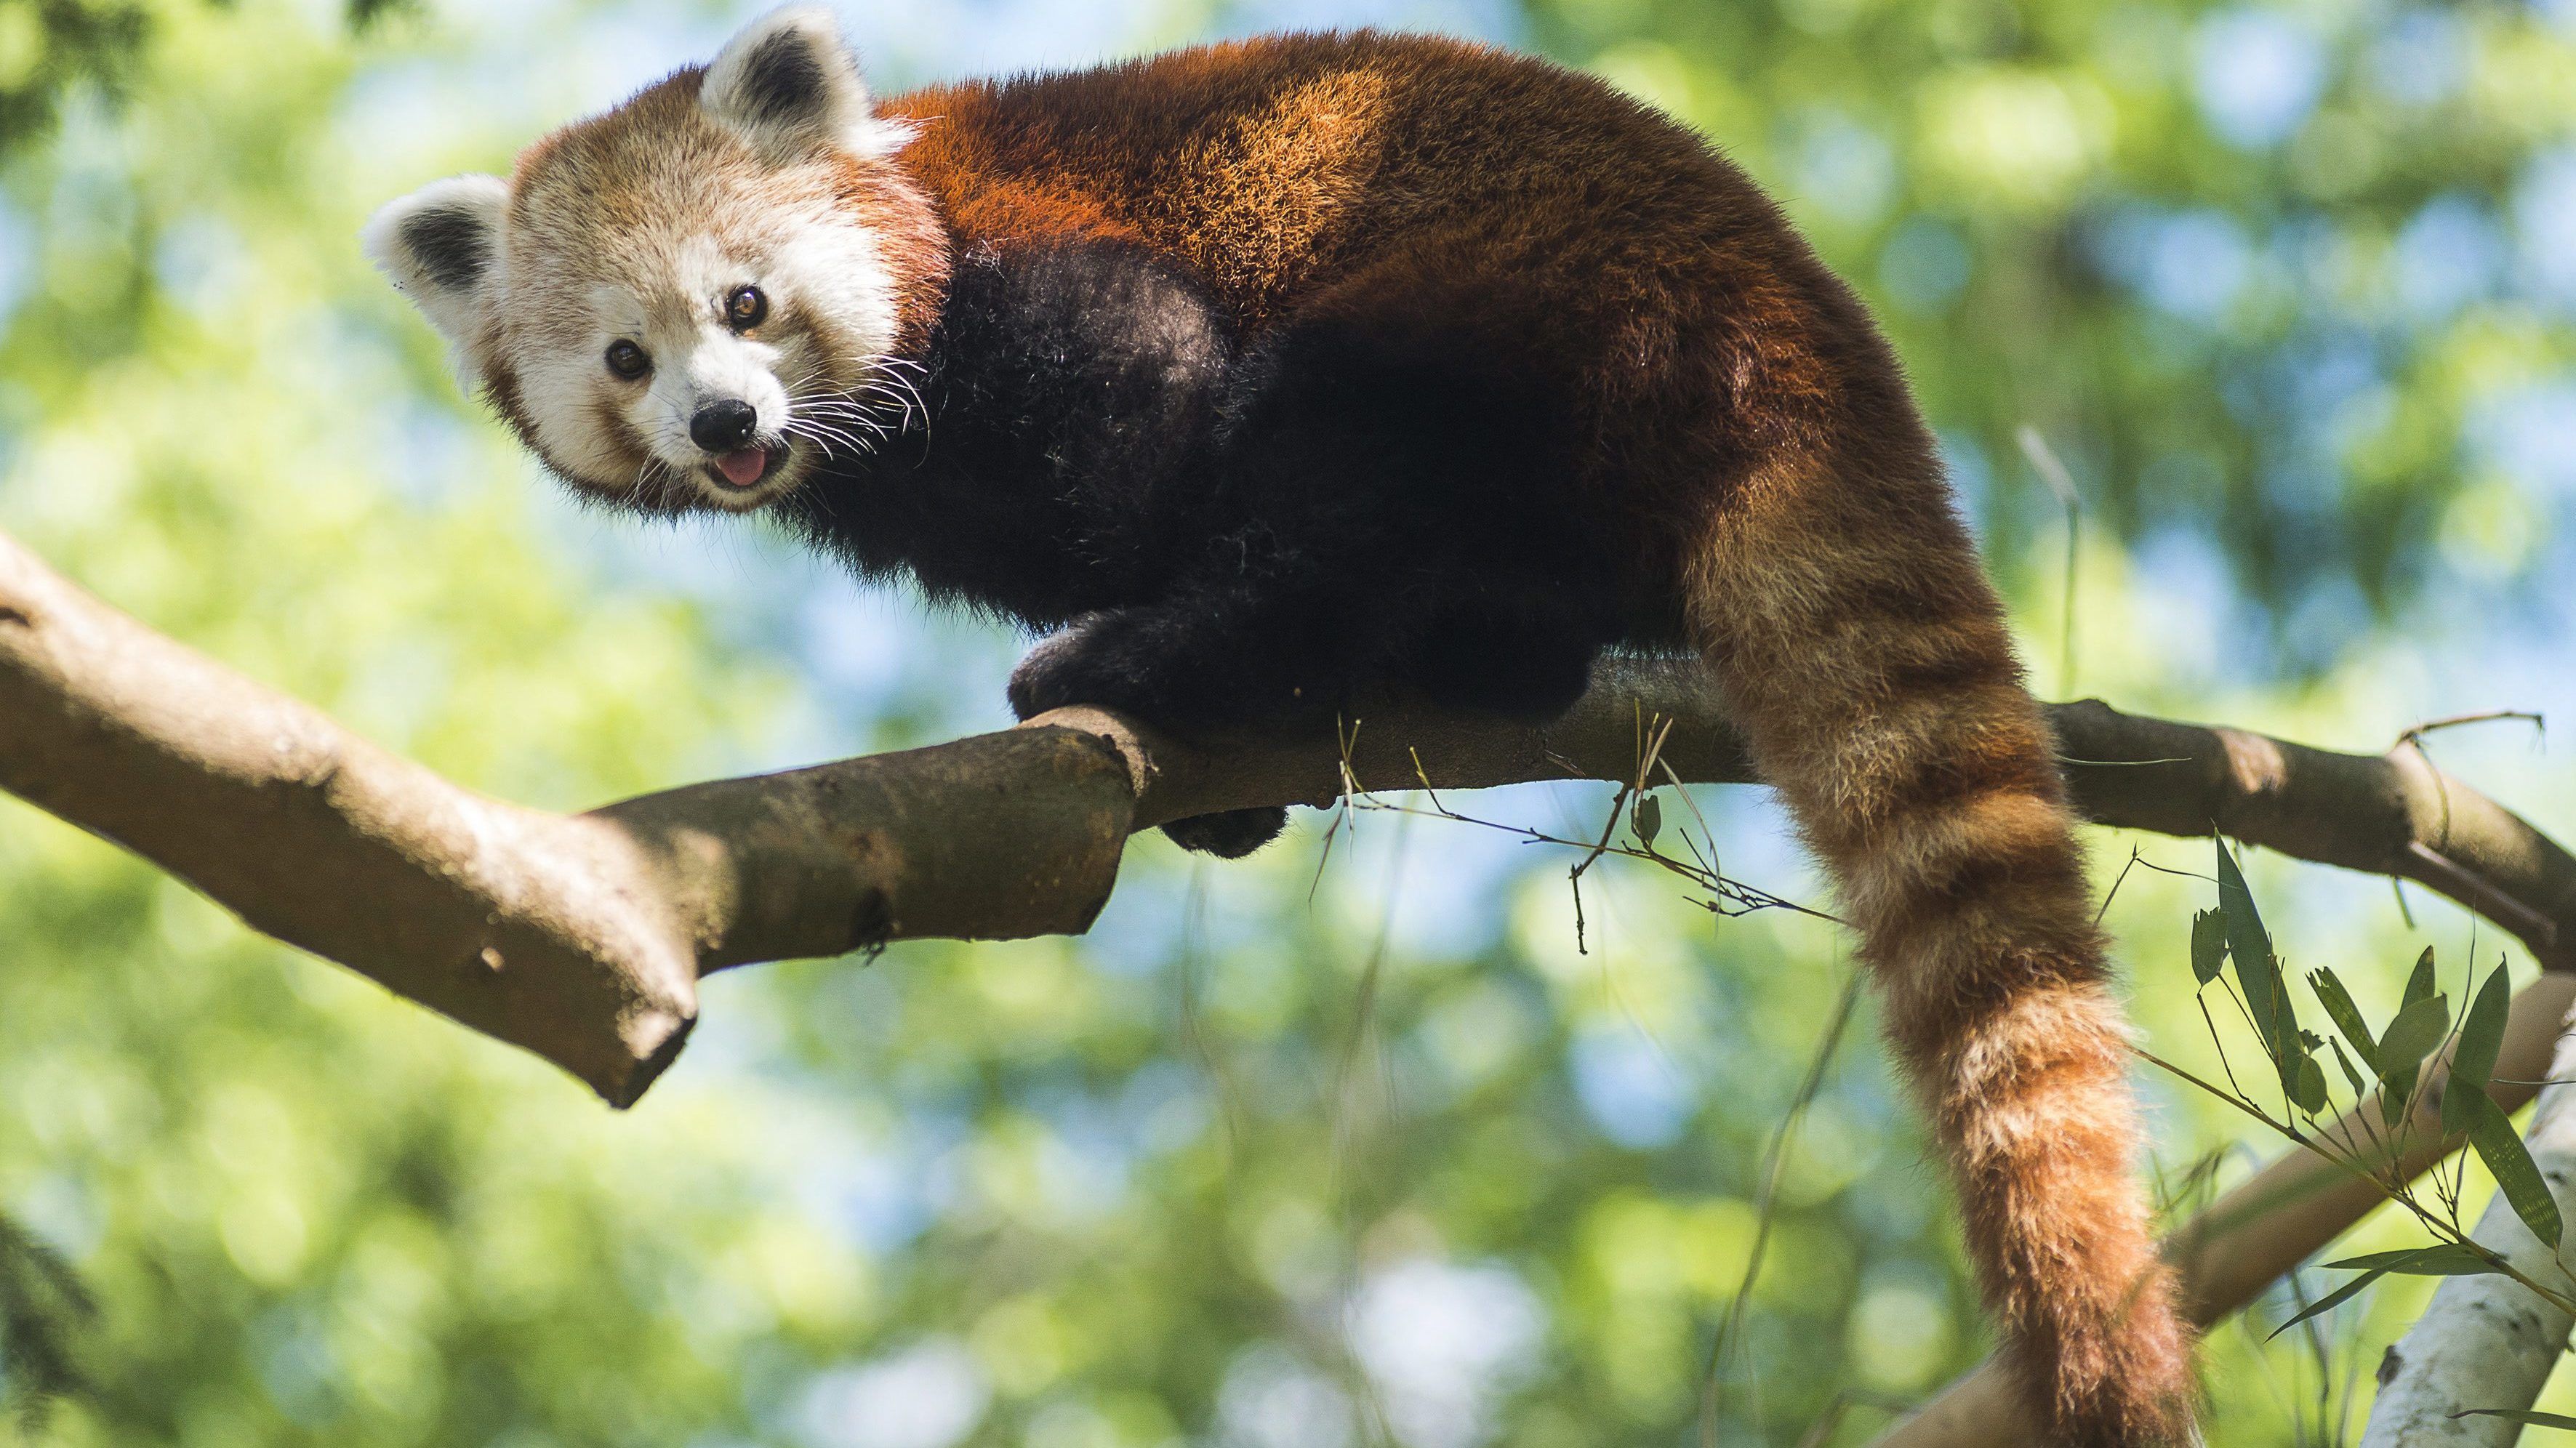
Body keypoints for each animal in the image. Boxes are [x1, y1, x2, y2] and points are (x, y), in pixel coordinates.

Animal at [368, 8, 2194, 1432]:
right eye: (626, 358)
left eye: (745, 306)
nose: (728, 424)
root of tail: (1793, 312)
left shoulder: (1048, 284)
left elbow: (1151, 430)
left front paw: (1176, 669)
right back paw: (1470, 658)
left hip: (1501, 289)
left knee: (1340, 459)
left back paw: (1176, 658)